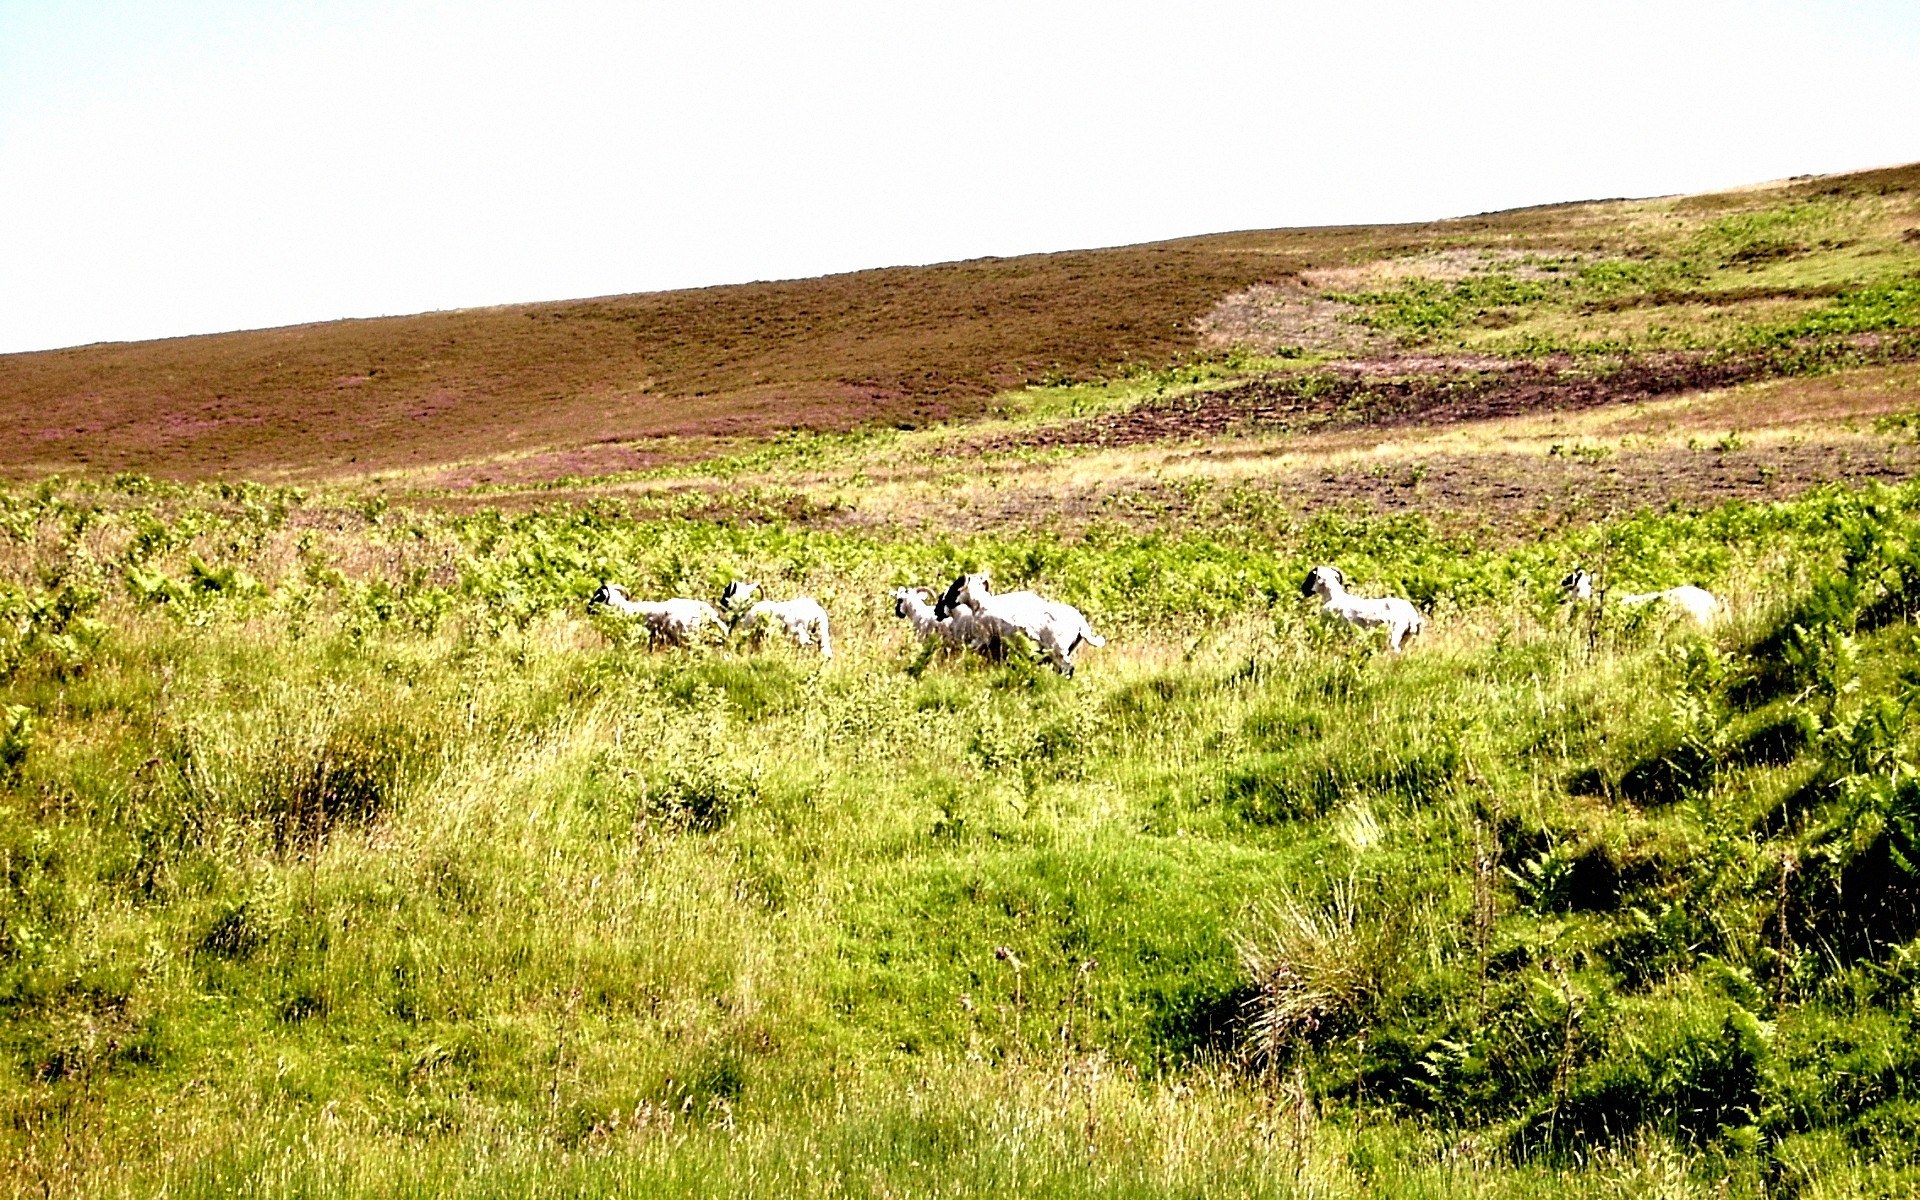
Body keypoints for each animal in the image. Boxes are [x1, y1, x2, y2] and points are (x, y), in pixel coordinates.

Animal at [948, 573, 1106, 677]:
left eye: (955, 587)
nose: (946, 603)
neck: (981, 604)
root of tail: (1082, 624)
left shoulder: (983, 636)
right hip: (1067, 648)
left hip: (1057, 650)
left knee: (1068, 668)